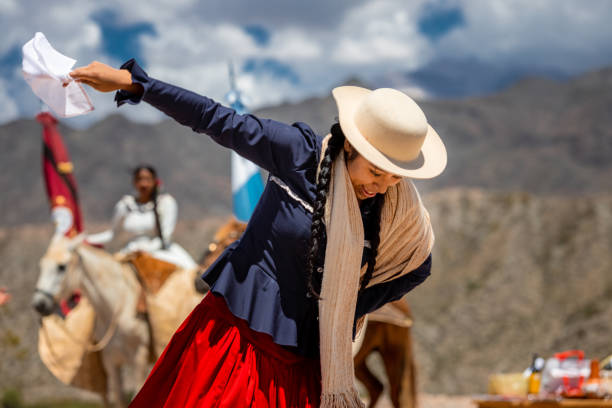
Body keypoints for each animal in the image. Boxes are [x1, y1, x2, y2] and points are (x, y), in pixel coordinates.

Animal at [32, 234, 151, 406]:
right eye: (42, 265)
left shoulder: (139, 356)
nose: (38, 304)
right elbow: (119, 397)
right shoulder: (111, 361)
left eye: (61, 267)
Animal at [198, 217, 418, 408]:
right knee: (376, 387)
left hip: (393, 355)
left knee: (394, 394)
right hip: (361, 360)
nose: (197, 280)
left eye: (227, 238)